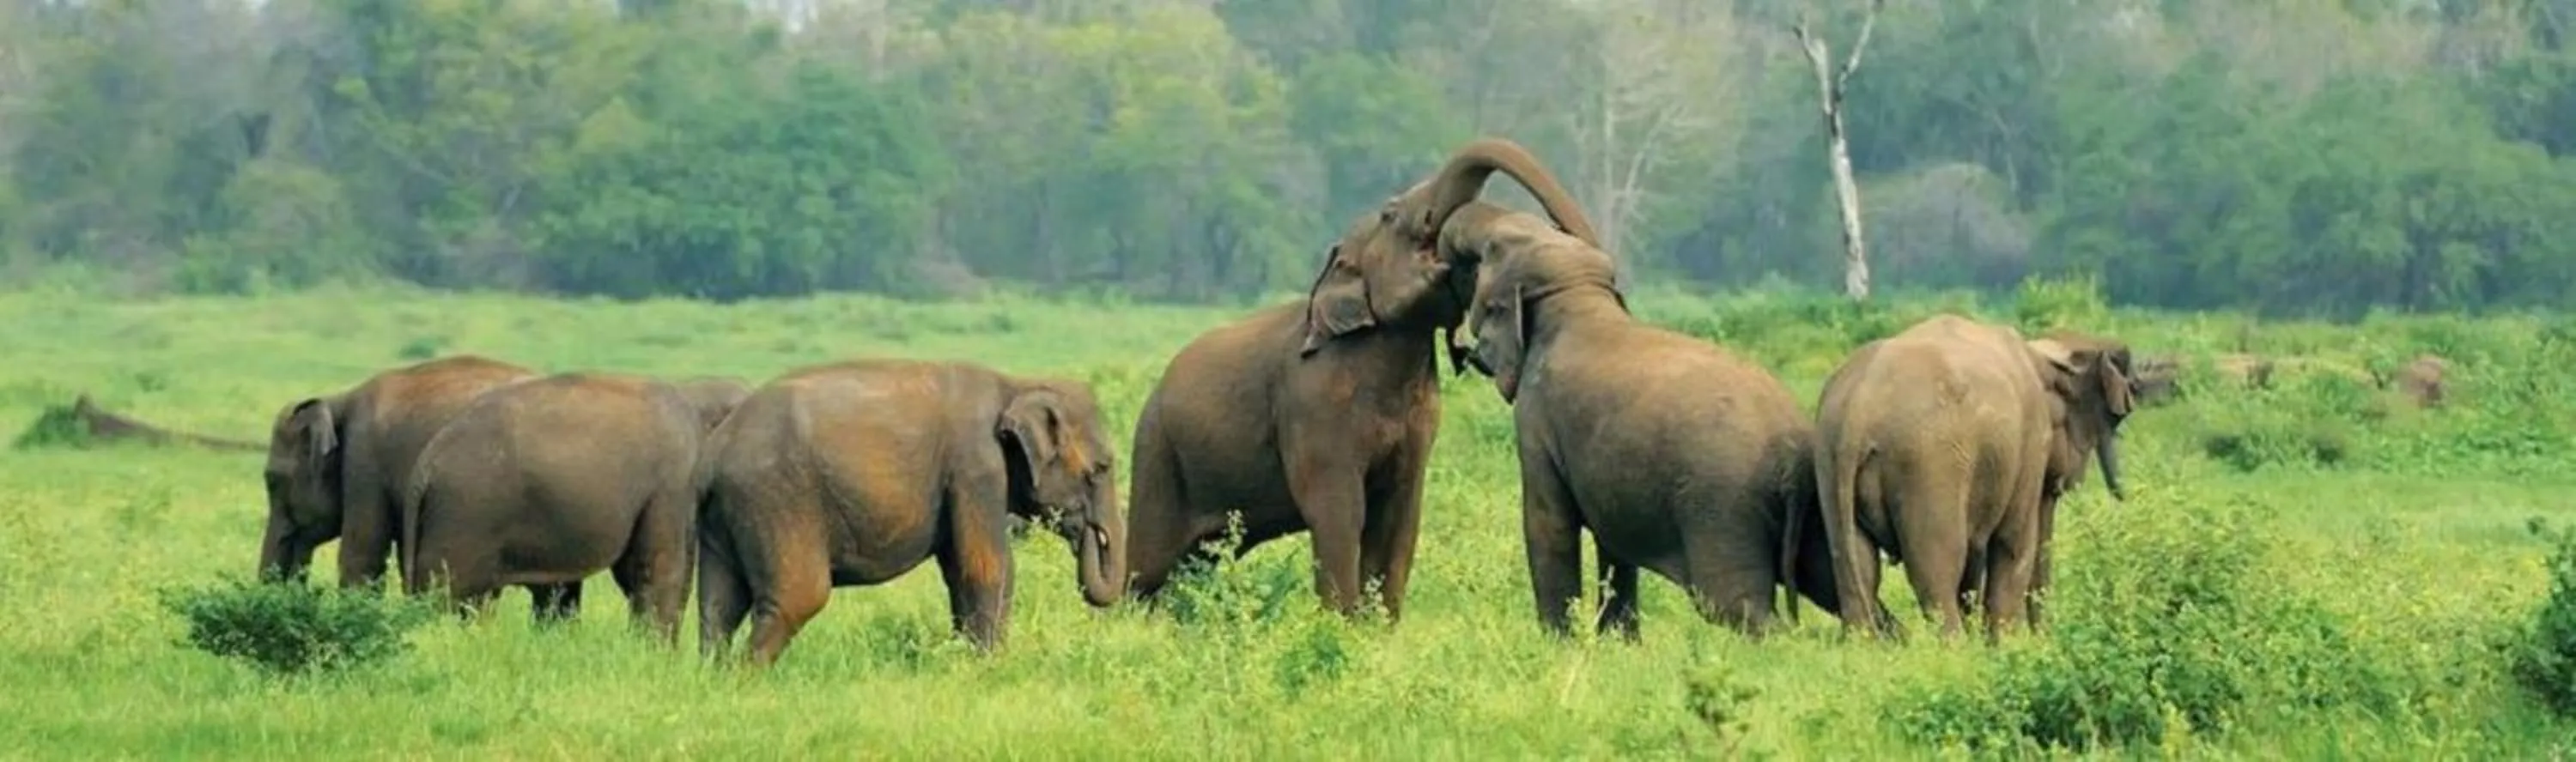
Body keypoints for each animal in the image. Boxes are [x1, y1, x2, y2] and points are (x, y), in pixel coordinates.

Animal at [696, 359, 1124, 666]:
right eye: (1101, 469)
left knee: (719, 603)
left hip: (725, 513)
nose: (1087, 531)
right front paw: (990, 668)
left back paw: (717, 677)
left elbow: (958, 570)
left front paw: (971, 661)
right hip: (776, 500)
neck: (1015, 384)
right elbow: (986, 566)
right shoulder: (976, 468)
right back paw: (750, 679)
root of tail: (715, 450)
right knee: (798, 596)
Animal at [1120, 137, 1600, 622]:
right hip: (1157, 454)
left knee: (1198, 561)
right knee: (1150, 567)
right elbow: (1339, 511)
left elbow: (1400, 514)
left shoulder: (1421, 419)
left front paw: (1379, 626)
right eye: (1390, 214)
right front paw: (1341, 624)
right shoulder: (1312, 404)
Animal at [1439, 200, 1857, 638]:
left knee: (1734, 604)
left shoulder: (1537, 418)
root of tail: (1792, 454)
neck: (1578, 294)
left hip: (1723, 506)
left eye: (1491, 250)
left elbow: (1548, 523)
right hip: (1809, 508)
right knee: (1834, 583)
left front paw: (1560, 642)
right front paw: (1619, 643)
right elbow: (1611, 540)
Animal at [1809, 314, 2134, 641]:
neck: (2041, 355)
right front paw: (2007, 645)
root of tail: (1857, 414)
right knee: (1937, 572)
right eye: (2114, 419)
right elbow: (2013, 544)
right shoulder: (2029, 444)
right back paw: (1956, 647)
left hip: (1830, 460)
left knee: (1854, 569)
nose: (2044, 636)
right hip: (1929, 465)